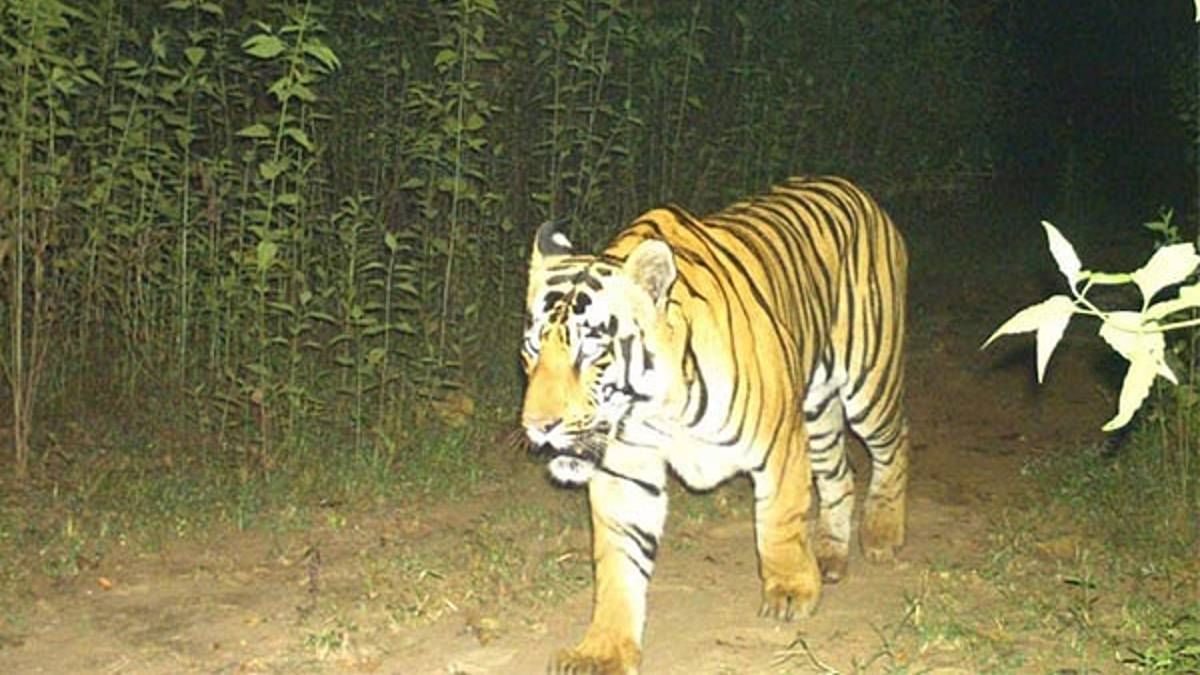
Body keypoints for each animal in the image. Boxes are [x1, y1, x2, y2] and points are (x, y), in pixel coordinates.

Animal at [520, 176, 910, 674]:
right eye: (533, 348)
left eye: (590, 352)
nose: (537, 425)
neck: (656, 407)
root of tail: (855, 189)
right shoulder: (627, 472)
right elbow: (618, 563)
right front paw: (603, 650)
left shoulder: (780, 444)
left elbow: (778, 521)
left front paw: (789, 591)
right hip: (818, 408)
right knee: (840, 475)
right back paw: (829, 555)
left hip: (869, 381)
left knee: (895, 444)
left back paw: (881, 535)